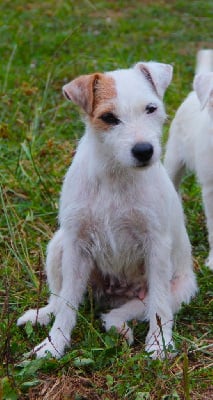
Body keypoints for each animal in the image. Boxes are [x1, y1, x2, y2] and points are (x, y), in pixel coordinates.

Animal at [17, 60, 197, 360]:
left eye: (151, 108)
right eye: (109, 118)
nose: (144, 151)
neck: (115, 174)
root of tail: (115, 295)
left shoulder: (157, 246)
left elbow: (160, 308)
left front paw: (160, 343)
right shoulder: (76, 246)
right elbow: (67, 305)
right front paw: (54, 344)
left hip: (175, 291)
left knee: (132, 311)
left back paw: (120, 328)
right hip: (59, 246)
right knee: (59, 298)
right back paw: (42, 315)